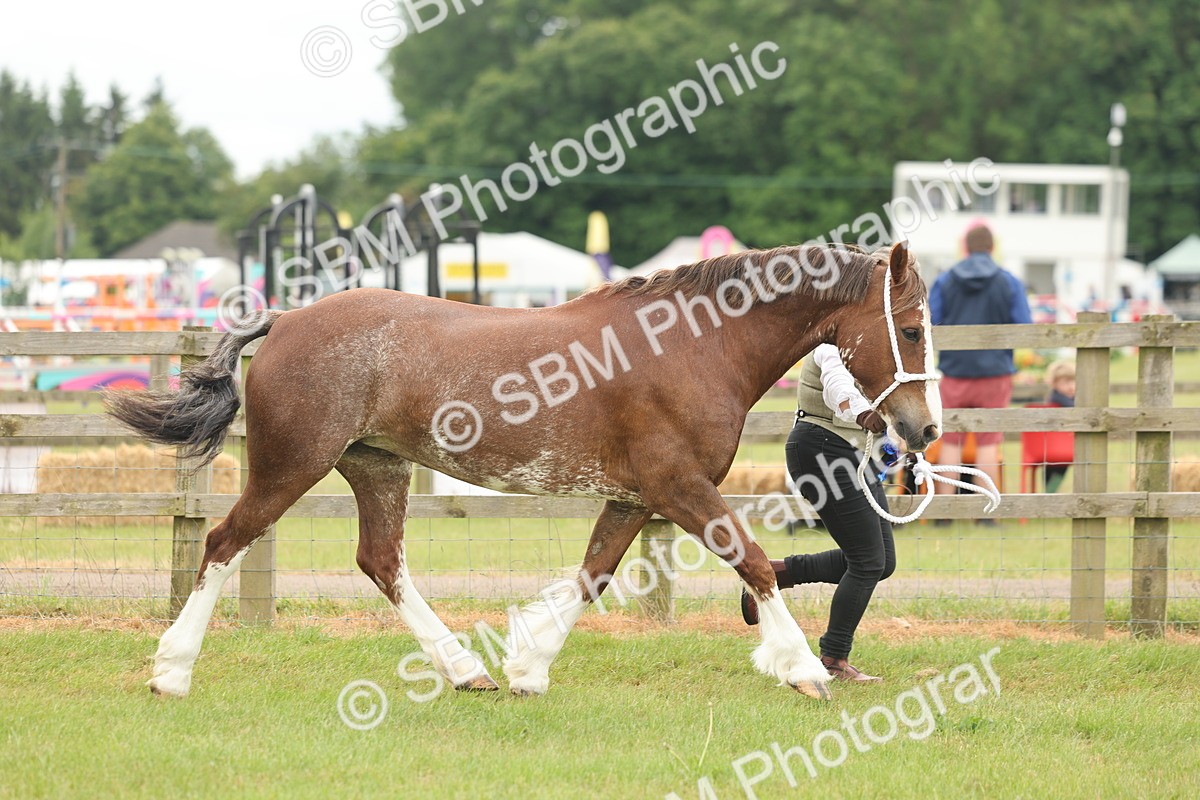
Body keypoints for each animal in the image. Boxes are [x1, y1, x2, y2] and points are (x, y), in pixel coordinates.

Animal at [106, 240, 940, 701]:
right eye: (908, 329)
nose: (923, 429)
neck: (694, 346)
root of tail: (284, 318)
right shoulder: (680, 488)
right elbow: (758, 563)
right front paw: (801, 670)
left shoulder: (636, 498)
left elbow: (593, 577)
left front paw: (528, 667)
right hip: (289, 468)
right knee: (222, 544)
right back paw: (171, 672)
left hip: (378, 468)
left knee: (381, 561)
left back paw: (463, 671)